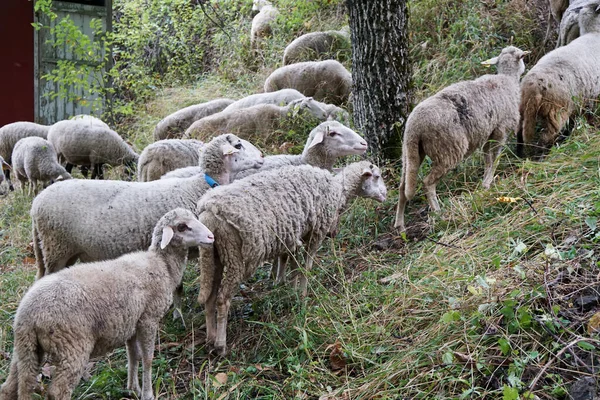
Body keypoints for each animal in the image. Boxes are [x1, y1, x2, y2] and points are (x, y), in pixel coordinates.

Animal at [0, 208, 214, 400]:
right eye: (182, 227)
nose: (211, 236)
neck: (161, 264)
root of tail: (27, 315)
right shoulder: (148, 319)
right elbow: (147, 358)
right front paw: (148, 394)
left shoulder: (131, 322)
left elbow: (133, 356)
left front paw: (133, 389)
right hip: (71, 346)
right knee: (58, 392)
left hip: (26, 348)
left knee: (11, 386)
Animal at [195, 159, 386, 354]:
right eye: (377, 176)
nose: (385, 195)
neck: (338, 189)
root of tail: (209, 211)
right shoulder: (316, 233)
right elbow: (306, 267)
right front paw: (302, 293)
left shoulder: (294, 234)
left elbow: (291, 264)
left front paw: (289, 289)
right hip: (235, 256)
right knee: (223, 299)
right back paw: (220, 345)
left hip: (213, 256)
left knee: (210, 296)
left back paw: (210, 338)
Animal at [394, 44, 528, 231]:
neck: (507, 79)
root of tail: (414, 127)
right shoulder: (501, 130)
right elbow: (495, 158)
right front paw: (488, 182)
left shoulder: (489, 133)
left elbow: (487, 158)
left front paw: (485, 183)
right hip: (447, 149)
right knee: (428, 182)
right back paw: (438, 212)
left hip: (410, 153)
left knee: (403, 187)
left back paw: (400, 225)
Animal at [516, 3, 600, 159]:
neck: (594, 32)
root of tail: (533, 88)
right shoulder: (592, 92)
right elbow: (589, 111)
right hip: (556, 112)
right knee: (545, 137)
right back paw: (542, 156)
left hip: (524, 108)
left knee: (519, 132)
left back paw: (519, 155)